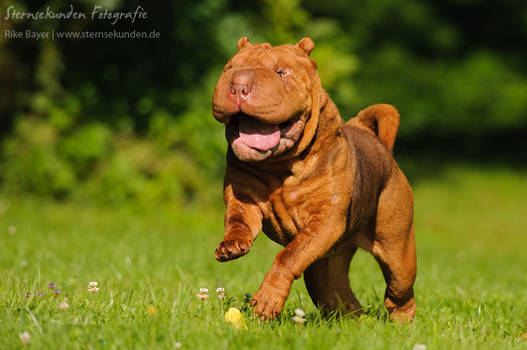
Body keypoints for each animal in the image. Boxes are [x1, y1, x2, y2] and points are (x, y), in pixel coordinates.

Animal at [211, 37, 416, 322]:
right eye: (229, 68)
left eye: (280, 73)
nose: (238, 84)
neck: (279, 165)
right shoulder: (244, 197)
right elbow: (238, 221)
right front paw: (231, 245)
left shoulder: (324, 220)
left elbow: (288, 256)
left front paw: (267, 301)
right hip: (325, 269)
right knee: (340, 298)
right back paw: (356, 322)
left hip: (398, 254)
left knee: (399, 293)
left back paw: (402, 324)